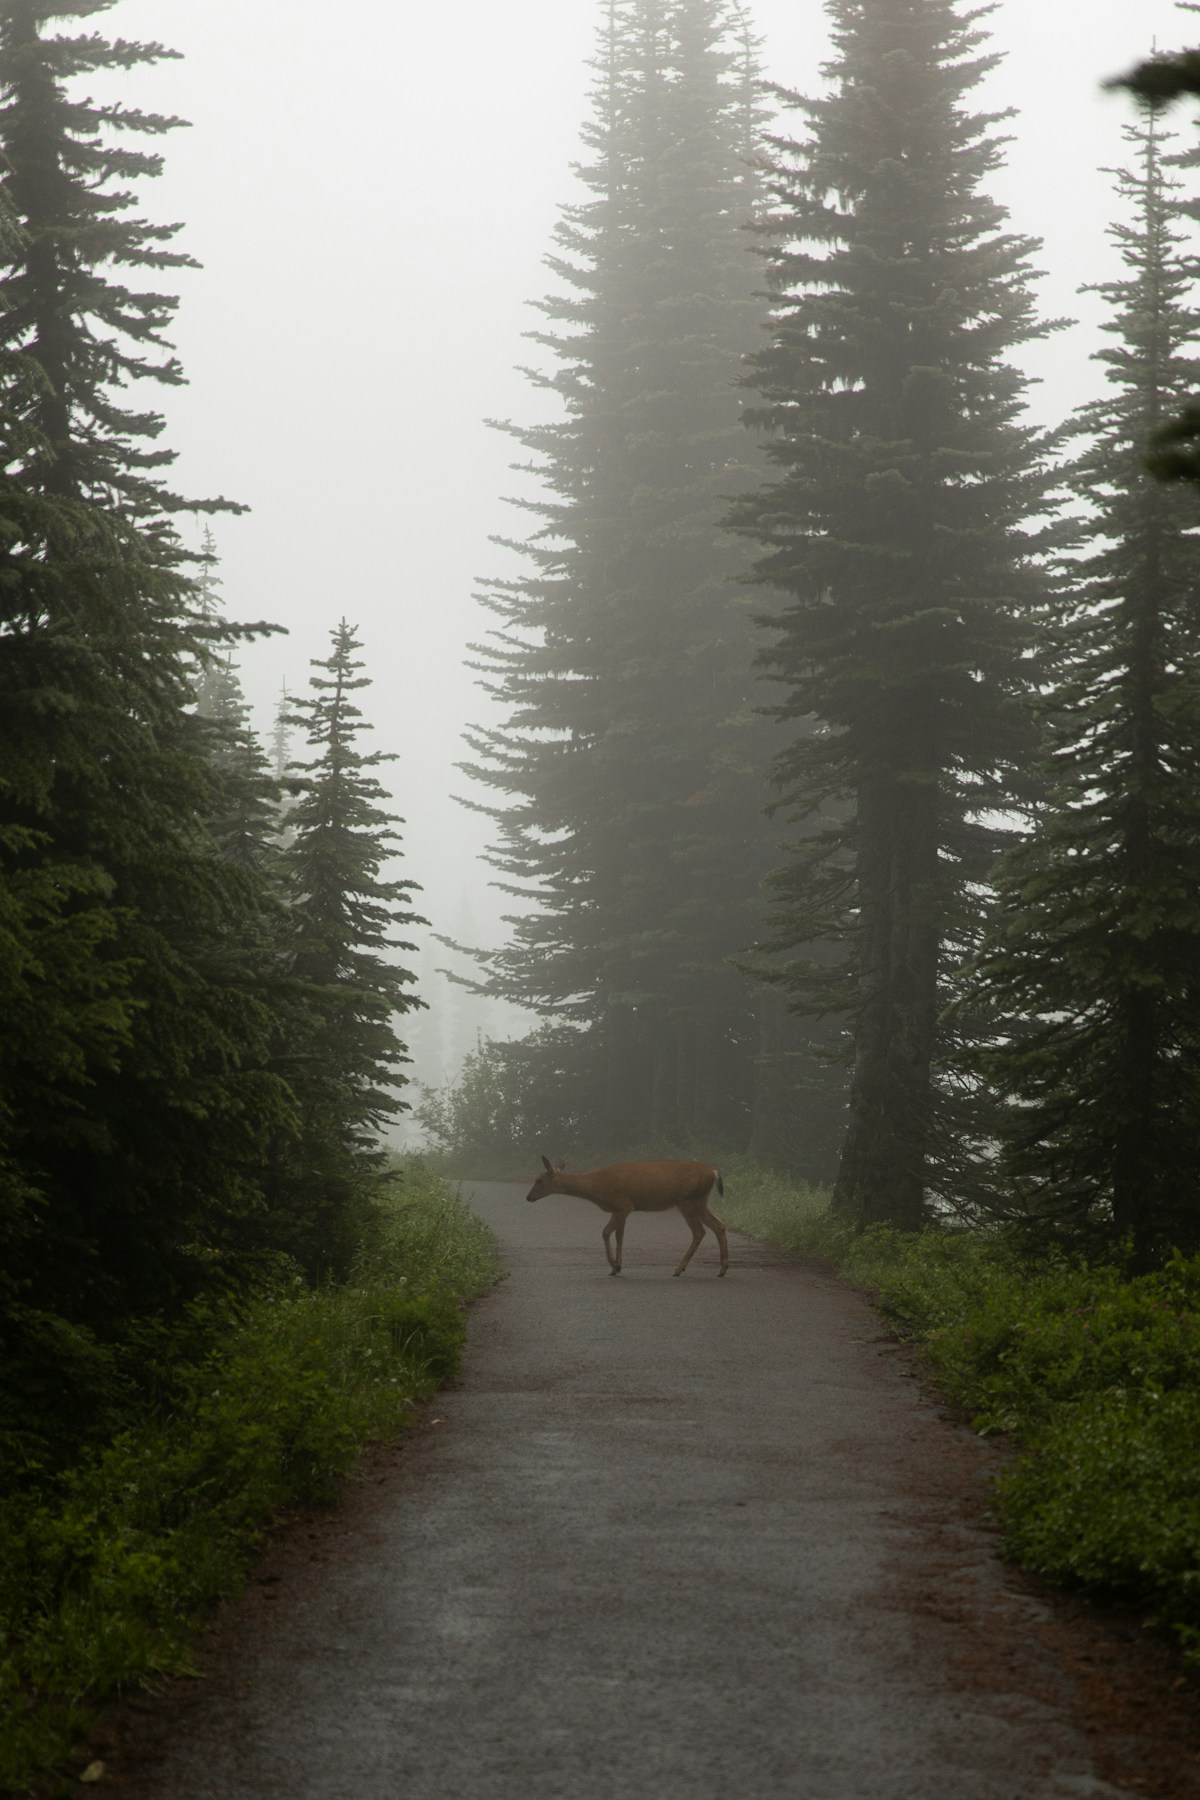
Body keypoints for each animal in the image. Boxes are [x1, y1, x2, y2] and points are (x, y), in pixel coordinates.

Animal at [526, 1155, 729, 1277]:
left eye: (539, 1180)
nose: (528, 1197)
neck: (597, 1187)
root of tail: (714, 1172)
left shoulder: (623, 1205)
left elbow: (606, 1232)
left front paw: (614, 1265)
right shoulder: (621, 1209)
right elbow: (619, 1236)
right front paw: (617, 1266)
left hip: (688, 1200)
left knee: (699, 1231)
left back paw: (679, 1269)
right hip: (699, 1200)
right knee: (719, 1224)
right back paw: (722, 1269)